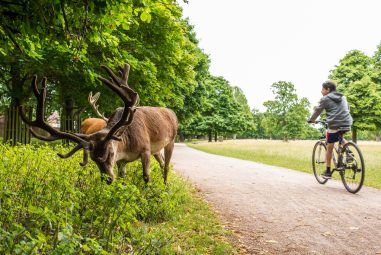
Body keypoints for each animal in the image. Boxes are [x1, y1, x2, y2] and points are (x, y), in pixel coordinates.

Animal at [17, 63, 177, 183]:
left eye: (110, 153)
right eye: (93, 158)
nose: (107, 180)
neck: (126, 143)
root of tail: (172, 113)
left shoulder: (145, 150)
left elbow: (146, 177)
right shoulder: (122, 161)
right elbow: (123, 180)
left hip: (170, 141)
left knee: (167, 165)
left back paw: (165, 185)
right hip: (157, 150)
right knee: (162, 163)